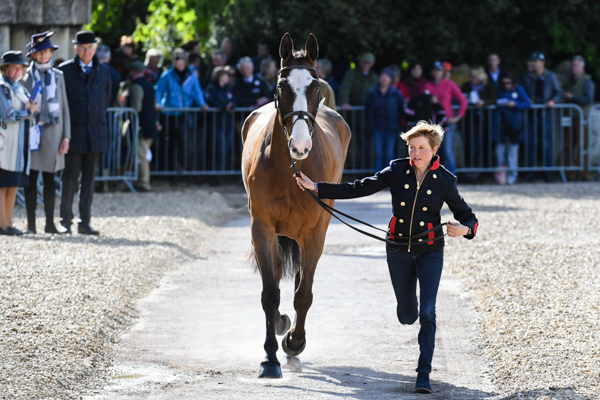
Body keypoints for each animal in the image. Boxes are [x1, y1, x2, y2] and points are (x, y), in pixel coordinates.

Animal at [240, 32, 352, 378]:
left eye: (316, 88)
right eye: (281, 88)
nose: (301, 145)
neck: (290, 169)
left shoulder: (314, 234)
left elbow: (303, 294)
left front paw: (294, 343)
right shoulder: (262, 229)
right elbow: (270, 293)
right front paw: (270, 358)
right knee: (276, 276)